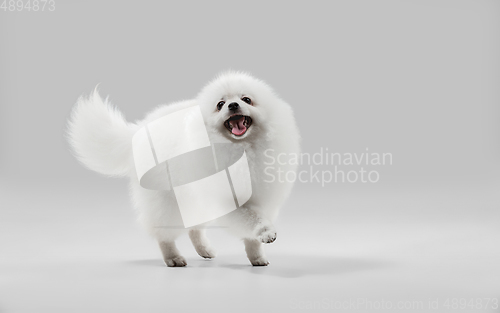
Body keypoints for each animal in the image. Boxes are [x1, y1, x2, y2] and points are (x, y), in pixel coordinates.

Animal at [67, 71, 300, 266]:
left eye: (246, 99)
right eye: (220, 104)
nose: (233, 105)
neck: (241, 149)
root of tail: (138, 130)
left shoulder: (261, 198)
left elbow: (251, 233)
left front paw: (257, 257)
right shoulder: (228, 200)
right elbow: (252, 219)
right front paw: (266, 232)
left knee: (194, 228)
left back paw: (204, 250)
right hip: (166, 201)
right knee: (164, 234)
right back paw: (173, 257)